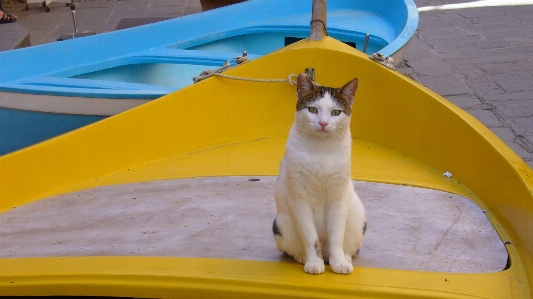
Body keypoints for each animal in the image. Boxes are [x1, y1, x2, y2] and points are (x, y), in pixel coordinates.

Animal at [272, 74, 368, 276]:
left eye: (336, 112)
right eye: (313, 109)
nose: (323, 123)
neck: (321, 150)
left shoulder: (338, 198)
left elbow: (336, 235)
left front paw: (339, 261)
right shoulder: (299, 199)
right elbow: (311, 237)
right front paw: (314, 262)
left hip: (358, 219)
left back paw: (344, 257)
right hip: (281, 224)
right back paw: (303, 256)